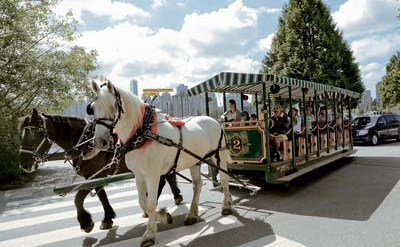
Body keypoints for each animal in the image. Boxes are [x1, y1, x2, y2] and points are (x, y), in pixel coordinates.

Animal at [18, 109, 181, 233]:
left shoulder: (96, 175)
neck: (85, 142)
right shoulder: (92, 176)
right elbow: (100, 196)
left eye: (34, 135)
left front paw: (87, 221)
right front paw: (106, 218)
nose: (24, 165)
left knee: (165, 179)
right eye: (21, 135)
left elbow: (79, 197)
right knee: (168, 176)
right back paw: (173, 197)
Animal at [90, 81, 231, 247]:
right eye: (92, 107)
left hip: (218, 155)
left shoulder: (153, 175)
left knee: (224, 179)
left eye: (113, 107)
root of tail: (215, 120)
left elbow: (151, 203)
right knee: (197, 184)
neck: (143, 133)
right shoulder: (139, 175)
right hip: (196, 160)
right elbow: (142, 202)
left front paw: (150, 234)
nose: (100, 141)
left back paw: (226, 206)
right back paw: (192, 214)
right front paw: (164, 216)